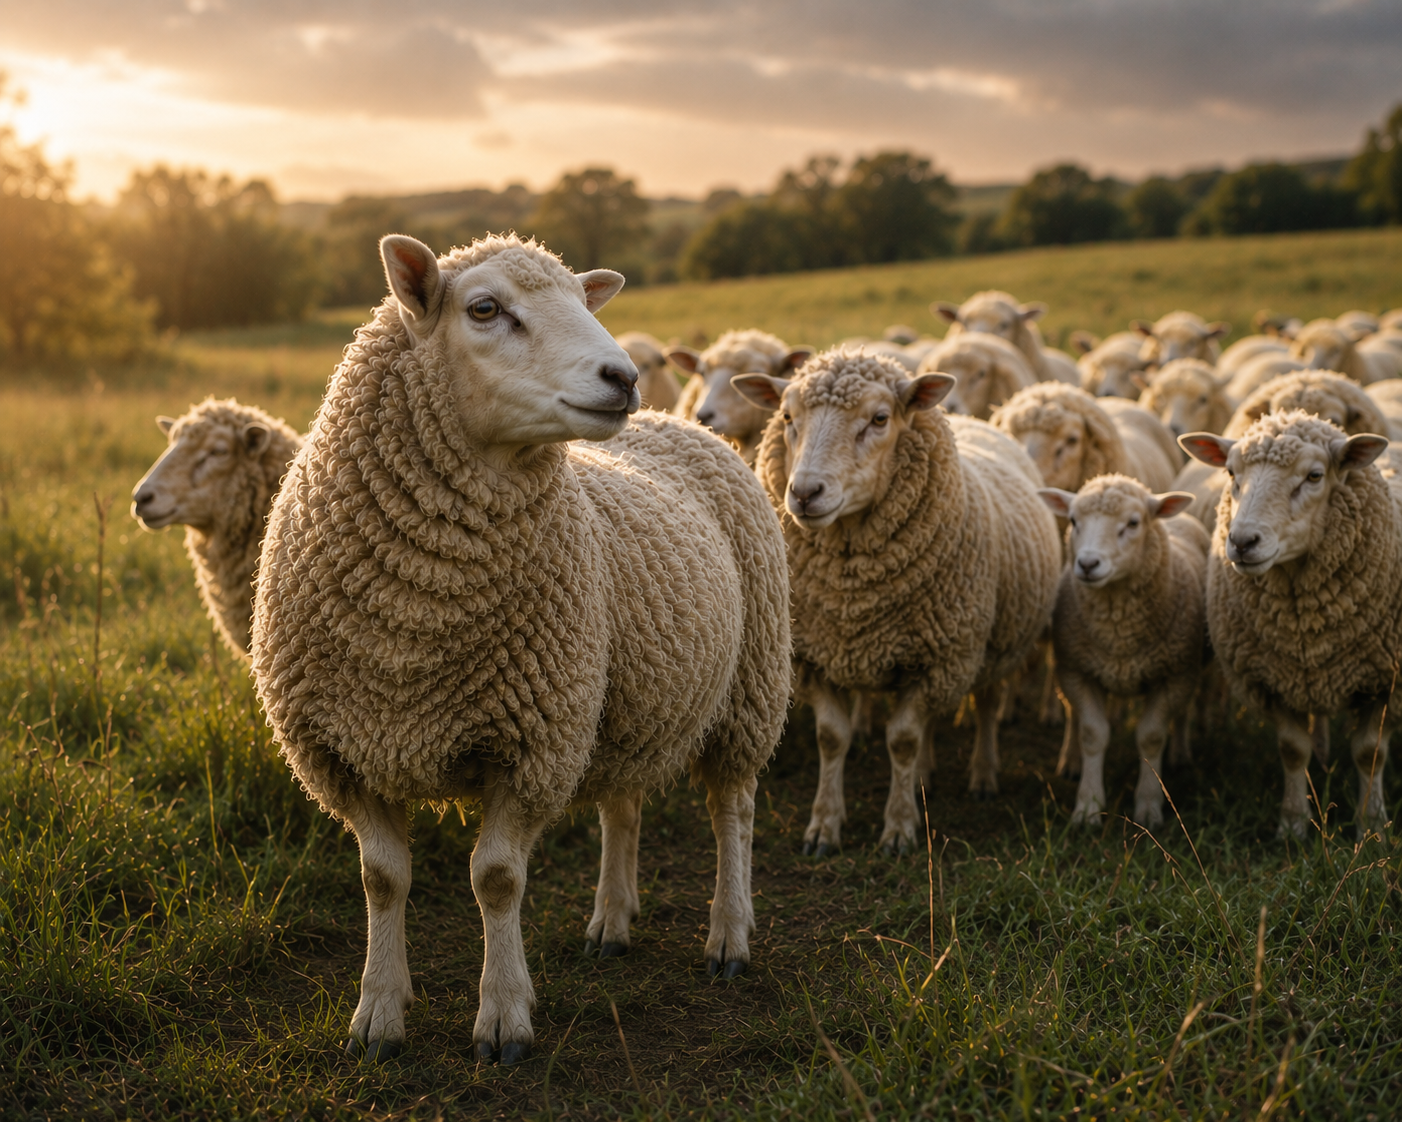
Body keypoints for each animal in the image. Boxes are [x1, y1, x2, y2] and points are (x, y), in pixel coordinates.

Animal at [251, 234, 791, 1064]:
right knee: (622, 806)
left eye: (580, 299)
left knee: (732, 809)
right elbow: (381, 879)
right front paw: (378, 1012)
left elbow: (497, 879)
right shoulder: (343, 749)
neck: (413, 617)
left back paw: (729, 936)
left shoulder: (531, 742)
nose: (623, 377)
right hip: (616, 698)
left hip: (748, 687)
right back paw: (612, 922)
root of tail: (683, 424)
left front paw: (503, 1017)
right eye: (484, 309)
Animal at [735, 350, 1060, 852]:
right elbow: (833, 737)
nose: (805, 493)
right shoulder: (814, 658)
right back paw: (925, 775)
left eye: (879, 419)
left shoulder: (937, 659)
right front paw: (824, 825)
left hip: (991, 646)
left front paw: (900, 828)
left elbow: (903, 740)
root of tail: (973, 419)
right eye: (787, 417)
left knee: (986, 706)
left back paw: (983, 775)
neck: (852, 595)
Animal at [1038, 477, 1208, 829]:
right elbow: (1092, 733)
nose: (1088, 563)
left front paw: (1149, 806)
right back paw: (1071, 760)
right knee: (1074, 717)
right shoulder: (1077, 670)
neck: (1119, 633)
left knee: (1182, 713)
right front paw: (1088, 807)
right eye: (1073, 520)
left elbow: (1151, 737)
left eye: (1132, 523)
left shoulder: (1174, 675)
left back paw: (1180, 754)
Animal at [1179, 413, 1402, 835]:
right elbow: (1292, 750)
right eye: (1230, 472)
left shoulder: (1384, 680)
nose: (1242, 542)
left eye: (1314, 476)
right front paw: (1294, 824)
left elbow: (1370, 754)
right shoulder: (1275, 678)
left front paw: (1372, 825)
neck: (1306, 625)